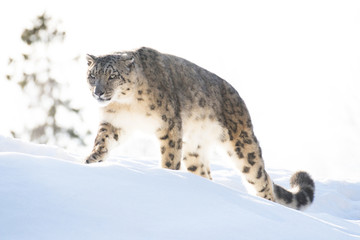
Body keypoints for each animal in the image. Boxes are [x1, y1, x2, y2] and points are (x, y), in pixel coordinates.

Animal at [85, 47, 316, 210]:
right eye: (92, 75)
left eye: (112, 75)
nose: (98, 92)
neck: (126, 104)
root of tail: (237, 96)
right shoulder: (114, 122)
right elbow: (103, 140)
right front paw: (93, 158)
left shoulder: (169, 125)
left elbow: (169, 157)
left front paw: (167, 175)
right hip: (194, 151)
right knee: (206, 174)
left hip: (243, 145)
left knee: (261, 179)